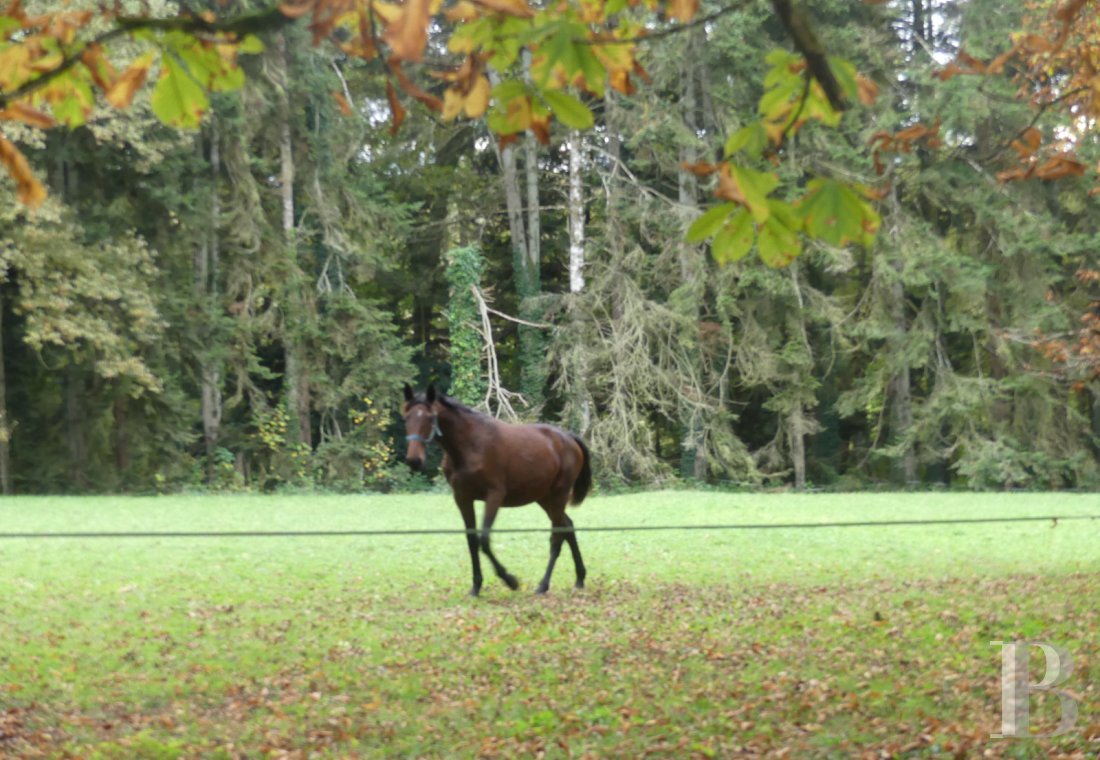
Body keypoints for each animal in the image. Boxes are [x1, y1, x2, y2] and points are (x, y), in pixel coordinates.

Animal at [404, 382, 594, 598]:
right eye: (406, 417)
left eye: (429, 417)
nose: (414, 460)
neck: (470, 445)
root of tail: (569, 438)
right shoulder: (462, 497)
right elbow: (472, 540)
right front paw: (476, 587)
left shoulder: (494, 496)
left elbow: (484, 540)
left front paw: (510, 580)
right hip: (545, 498)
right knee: (568, 527)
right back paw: (579, 579)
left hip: (558, 495)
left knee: (557, 536)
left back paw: (543, 585)